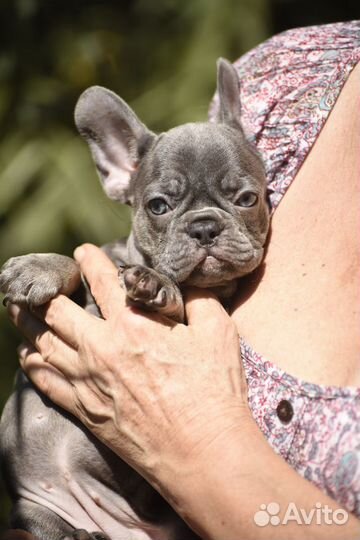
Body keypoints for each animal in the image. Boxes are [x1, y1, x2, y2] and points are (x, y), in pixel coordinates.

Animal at [0, 58, 270, 540]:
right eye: (158, 206)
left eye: (246, 198)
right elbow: (75, 262)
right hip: (35, 511)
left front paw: (157, 286)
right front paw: (38, 267)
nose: (204, 226)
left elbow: (174, 296)